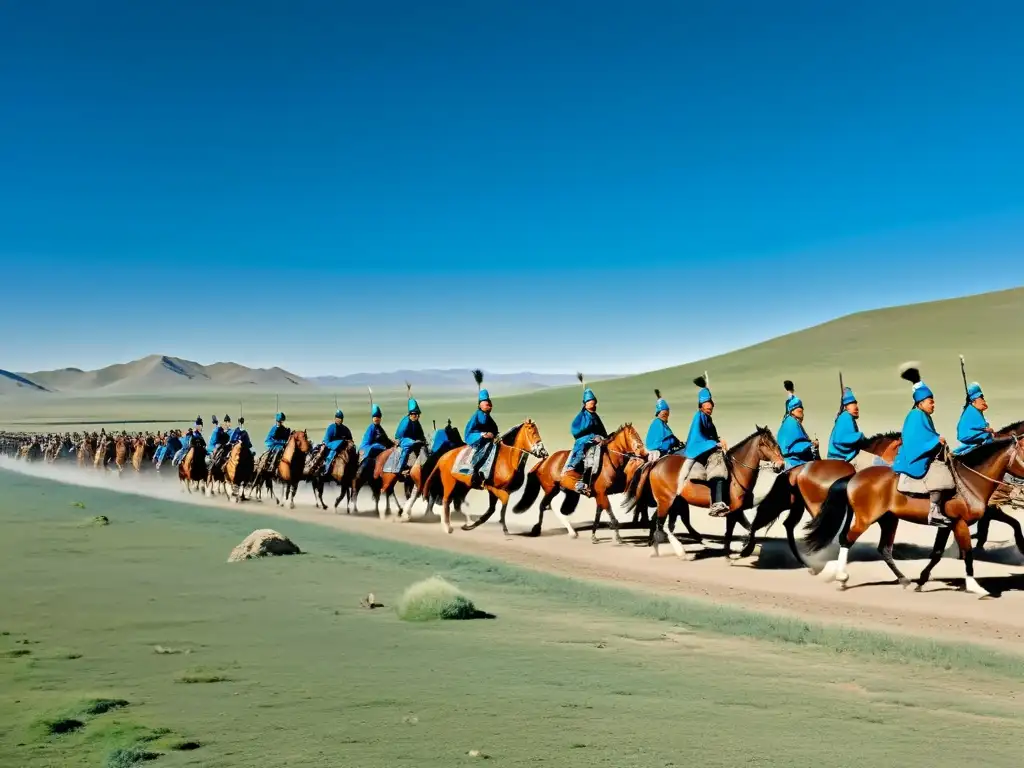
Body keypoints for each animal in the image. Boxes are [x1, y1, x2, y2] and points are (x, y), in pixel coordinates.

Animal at [419, 421, 548, 536]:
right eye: (532, 432)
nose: (543, 452)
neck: (507, 459)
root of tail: (443, 457)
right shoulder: (493, 488)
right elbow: (499, 505)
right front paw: (503, 528)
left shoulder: (503, 490)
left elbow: (495, 508)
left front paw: (470, 525)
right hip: (449, 483)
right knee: (446, 500)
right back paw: (447, 527)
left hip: (462, 486)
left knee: (455, 502)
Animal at [512, 423, 647, 544]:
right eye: (635, 438)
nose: (645, 454)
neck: (609, 462)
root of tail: (545, 461)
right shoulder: (602, 493)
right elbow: (609, 511)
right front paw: (618, 537)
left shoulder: (600, 494)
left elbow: (598, 513)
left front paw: (594, 536)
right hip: (550, 488)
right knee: (543, 505)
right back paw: (537, 529)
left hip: (562, 489)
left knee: (553, 506)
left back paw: (572, 532)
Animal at [622, 428, 782, 561]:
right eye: (769, 445)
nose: (781, 465)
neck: (737, 472)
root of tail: (656, 463)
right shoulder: (733, 511)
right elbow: (732, 531)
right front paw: (732, 554)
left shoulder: (738, 510)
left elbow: (749, 528)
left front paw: (744, 550)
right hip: (666, 501)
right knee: (661, 524)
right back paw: (672, 550)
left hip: (673, 502)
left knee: (664, 523)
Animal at [798, 436, 1024, 598]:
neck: (969, 481)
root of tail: (854, 476)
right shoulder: (960, 523)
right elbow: (967, 554)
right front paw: (975, 586)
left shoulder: (946, 525)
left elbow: (937, 553)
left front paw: (922, 581)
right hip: (866, 518)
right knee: (847, 540)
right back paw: (841, 578)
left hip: (889, 519)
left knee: (884, 549)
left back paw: (904, 580)